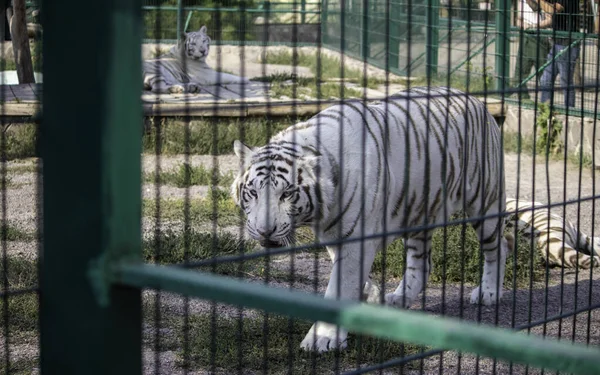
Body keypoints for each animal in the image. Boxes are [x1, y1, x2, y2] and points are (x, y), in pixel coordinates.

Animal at [231, 86, 510, 354]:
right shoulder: (337, 234)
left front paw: (322, 338)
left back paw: (488, 292)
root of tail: (476, 100)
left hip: (485, 201)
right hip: (419, 211)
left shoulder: (356, 238)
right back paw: (399, 299)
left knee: (499, 247)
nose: (264, 231)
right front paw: (372, 295)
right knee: (422, 264)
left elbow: (340, 286)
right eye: (253, 192)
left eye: (287, 194)